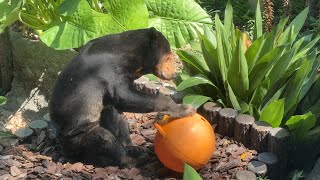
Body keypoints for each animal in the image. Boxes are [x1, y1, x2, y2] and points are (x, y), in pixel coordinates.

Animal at [48, 27, 195, 168]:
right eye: (168, 58)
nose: (174, 74)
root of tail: (66, 152)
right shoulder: (108, 69)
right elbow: (123, 95)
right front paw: (185, 109)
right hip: (79, 137)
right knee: (105, 140)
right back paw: (134, 160)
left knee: (113, 113)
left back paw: (134, 148)